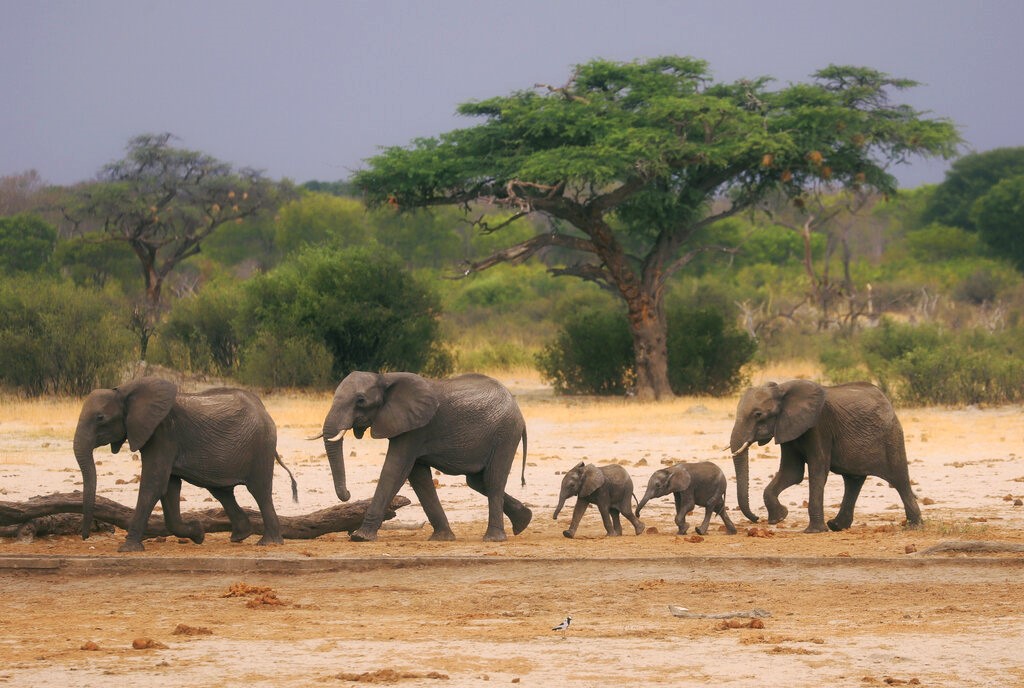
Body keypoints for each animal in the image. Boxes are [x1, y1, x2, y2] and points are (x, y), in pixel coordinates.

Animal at [71, 376, 296, 552]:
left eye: (100, 418)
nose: (85, 536)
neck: (125, 392)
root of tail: (264, 409)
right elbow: (169, 487)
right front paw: (198, 533)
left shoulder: (163, 434)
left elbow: (153, 484)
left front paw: (127, 549)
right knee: (221, 491)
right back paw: (240, 536)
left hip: (261, 446)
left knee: (259, 491)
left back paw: (269, 543)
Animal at [321, 370, 532, 544]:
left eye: (360, 400)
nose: (348, 494)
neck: (385, 378)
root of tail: (519, 412)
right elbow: (418, 477)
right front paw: (442, 538)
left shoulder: (416, 429)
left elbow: (395, 470)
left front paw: (360, 537)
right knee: (477, 481)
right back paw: (524, 521)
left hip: (505, 434)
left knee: (492, 480)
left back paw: (493, 538)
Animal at [729, 380, 921, 532]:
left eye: (758, 414)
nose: (756, 518)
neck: (783, 389)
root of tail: (886, 400)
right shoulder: (788, 429)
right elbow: (792, 472)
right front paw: (780, 517)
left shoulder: (819, 426)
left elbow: (817, 470)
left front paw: (813, 531)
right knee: (853, 481)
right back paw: (836, 526)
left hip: (891, 436)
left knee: (899, 478)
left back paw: (914, 525)